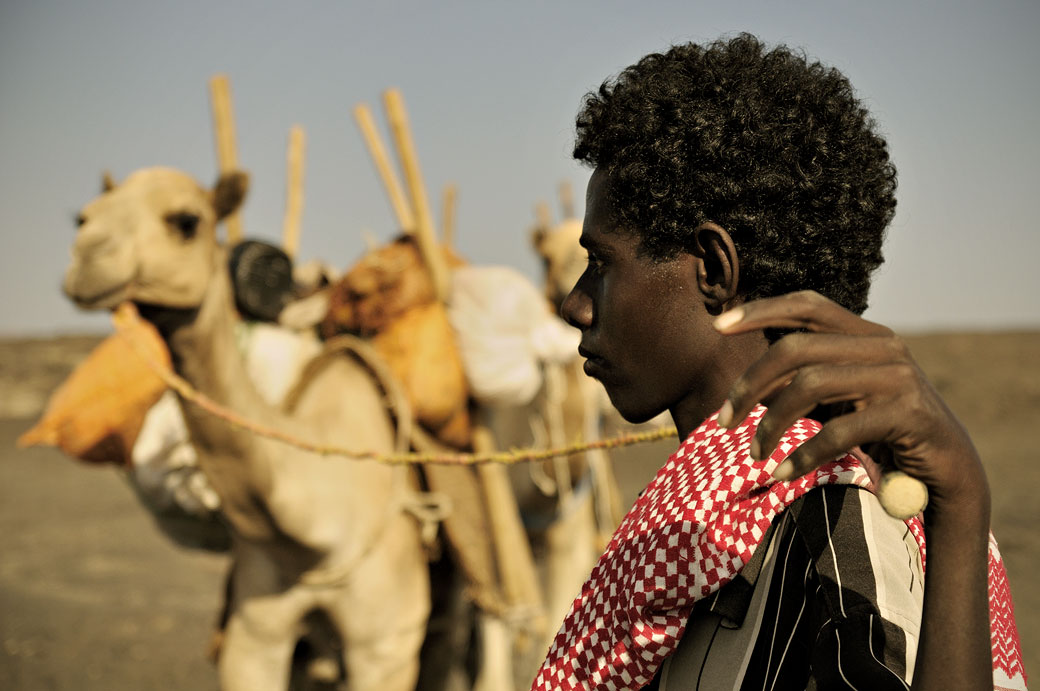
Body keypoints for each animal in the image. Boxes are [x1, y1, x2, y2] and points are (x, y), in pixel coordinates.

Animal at [61, 167, 430, 691]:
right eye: (83, 217)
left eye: (186, 221)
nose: (88, 261)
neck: (318, 537)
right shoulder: (255, 634)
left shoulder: (387, 643)